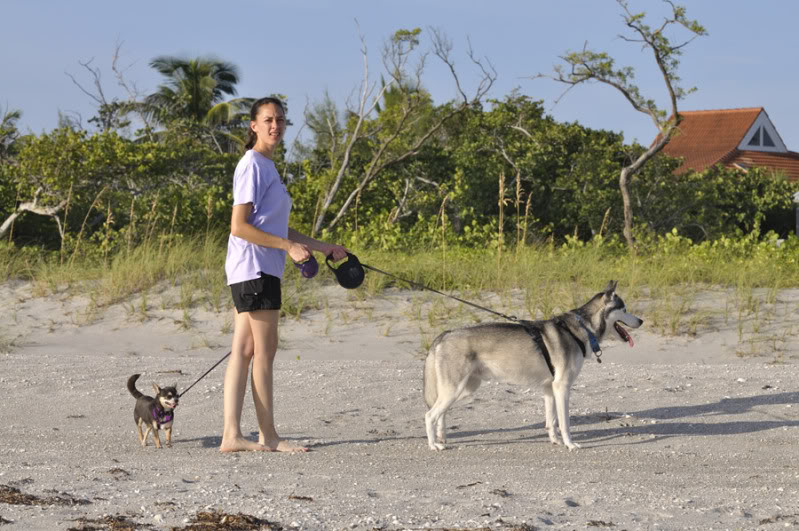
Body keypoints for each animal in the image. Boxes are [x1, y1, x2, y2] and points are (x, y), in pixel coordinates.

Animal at [424, 280, 644, 450]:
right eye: (624, 309)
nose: (641, 321)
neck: (582, 328)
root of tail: (444, 334)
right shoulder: (562, 388)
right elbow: (564, 423)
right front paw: (569, 444)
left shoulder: (549, 389)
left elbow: (551, 422)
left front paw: (555, 441)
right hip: (454, 389)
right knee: (430, 415)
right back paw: (433, 444)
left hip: (463, 389)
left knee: (441, 413)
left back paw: (442, 438)